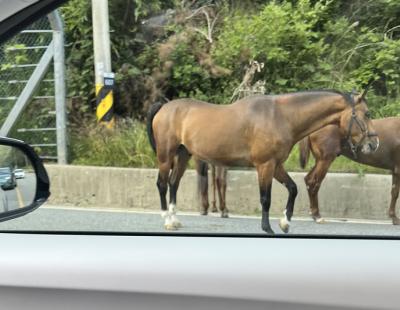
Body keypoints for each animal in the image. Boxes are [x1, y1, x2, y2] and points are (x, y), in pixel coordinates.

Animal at [146, 91, 378, 234]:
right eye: (367, 114)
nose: (374, 143)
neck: (281, 117)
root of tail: (164, 107)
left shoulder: (276, 165)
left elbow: (293, 188)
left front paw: (285, 222)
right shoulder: (264, 165)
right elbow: (265, 198)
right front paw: (268, 228)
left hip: (183, 155)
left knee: (174, 183)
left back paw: (175, 220)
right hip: (166, 156)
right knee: (162, 184)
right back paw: (166, 219)